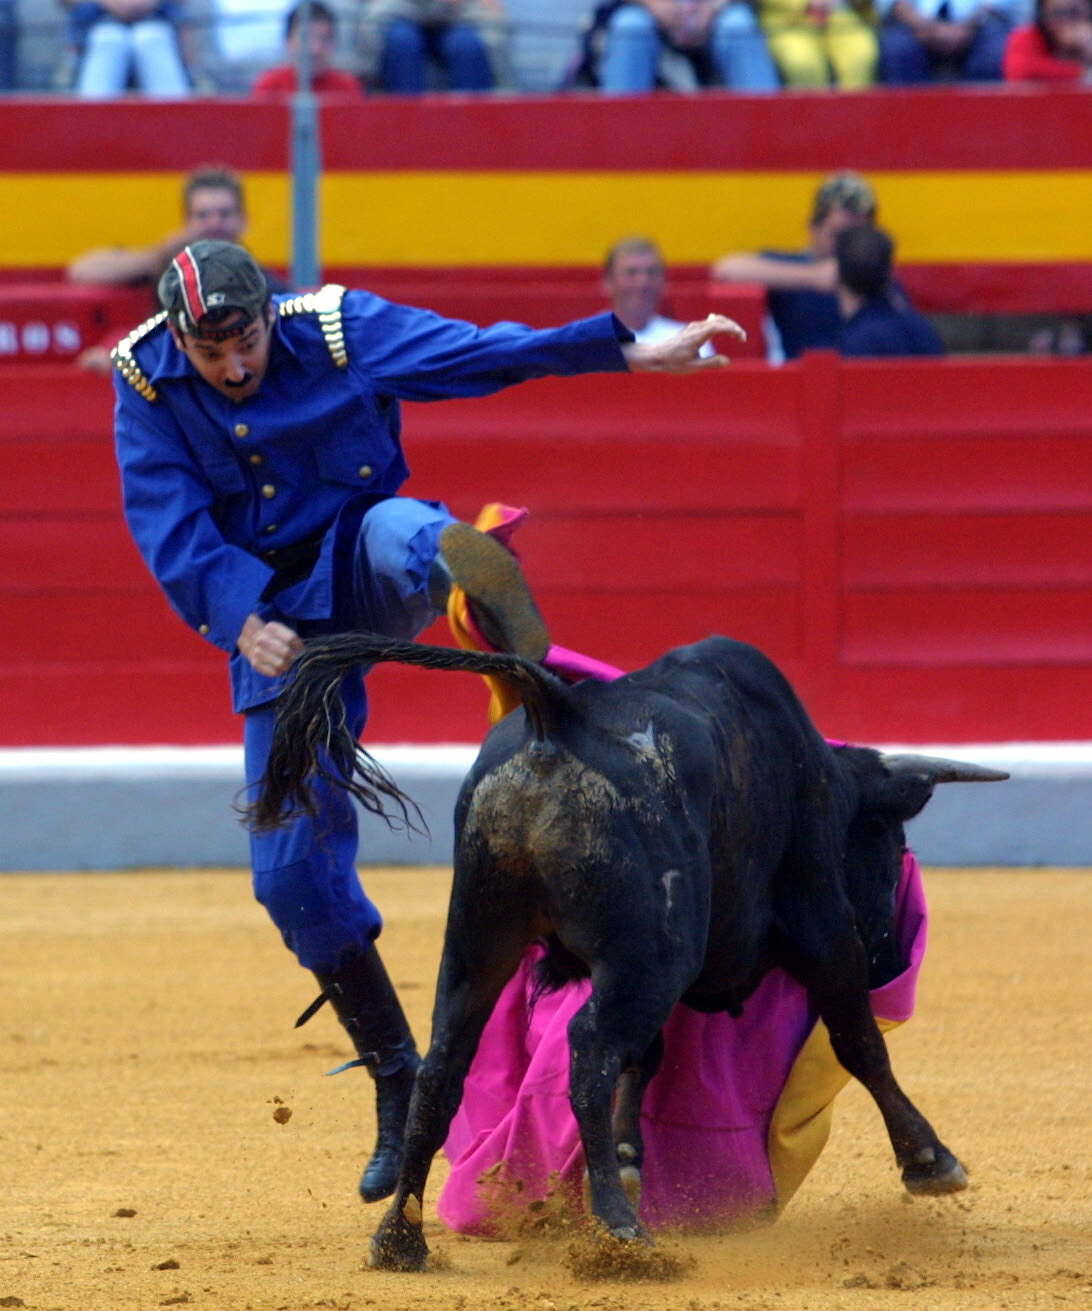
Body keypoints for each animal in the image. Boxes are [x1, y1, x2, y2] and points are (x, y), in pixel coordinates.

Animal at [253, 631, 1006, 1269]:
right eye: (890, 843)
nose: (890, 955)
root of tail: (554, 714)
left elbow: (648, 1056)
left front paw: (625, 1154)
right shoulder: (820, 920)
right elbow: (859, 1042)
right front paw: (931, 1162)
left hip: (479, 938)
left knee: (444, 1066)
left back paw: (400, 1240)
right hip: (652, 954)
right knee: (589, 1050)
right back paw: (620, 1229)